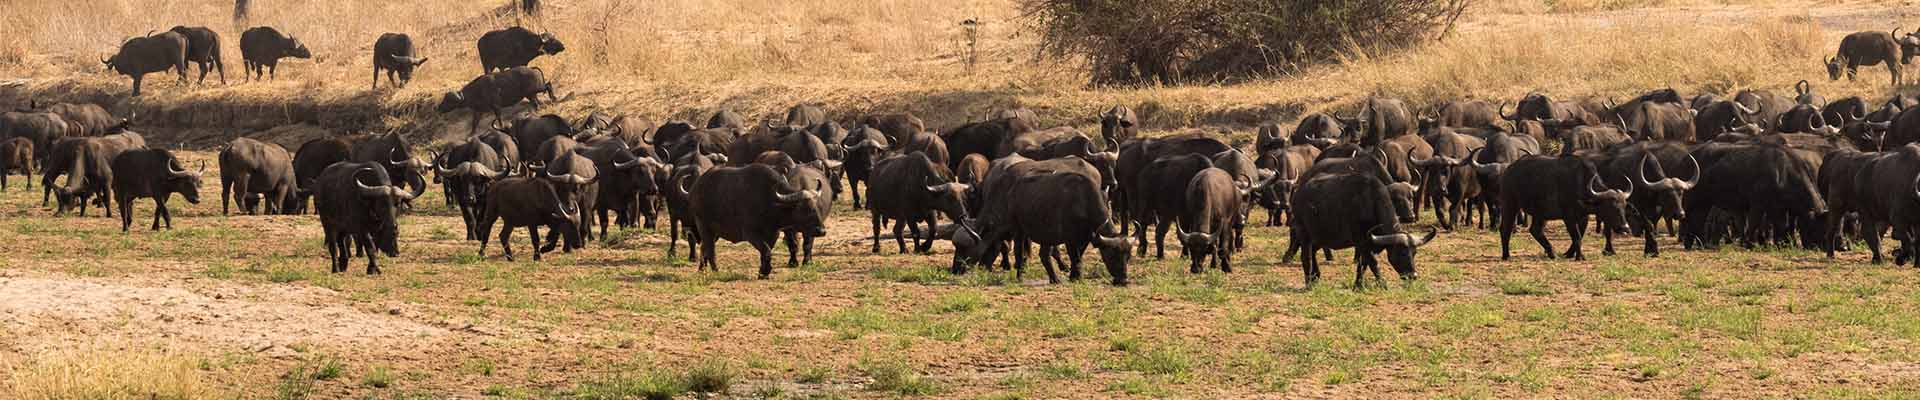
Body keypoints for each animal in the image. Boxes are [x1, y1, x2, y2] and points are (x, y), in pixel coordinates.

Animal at [691, 164, 825, 276]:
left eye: (816, 207)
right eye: (804, 209)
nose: (821, 231)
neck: (770, 202)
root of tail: (697, 186)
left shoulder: (773, 234)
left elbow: (765, 252)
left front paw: (762, 272)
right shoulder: (751, 234)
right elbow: (766, 251)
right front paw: (765, 271)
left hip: (715, 233)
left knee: (704, 247)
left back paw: (702, 269)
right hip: (703, 226)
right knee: (710, 249)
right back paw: (715, 271)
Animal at [1290, 172, 1443, 288]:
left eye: (1414, 253)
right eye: (1402, 252)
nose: (1413, 276)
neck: (1370, 203)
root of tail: (1299, 194)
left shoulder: (1369, 244)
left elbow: (1363, 264)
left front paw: (1358, 285)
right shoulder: (1362, 241)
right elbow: (1373, 262)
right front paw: (1382, 283)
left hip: (1319, 236)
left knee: (1313, 251)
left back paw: (1316, 277)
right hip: (1304, 232)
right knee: (1306, 256)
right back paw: (1308, 283)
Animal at [1497, 154, 1635, 261]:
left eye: (1623, 207)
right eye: (1610, 207)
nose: (1625, 228)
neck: (1580, 183)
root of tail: (1508, 171)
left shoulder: (1583, 217)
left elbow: (1580, 235)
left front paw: (1570, 253)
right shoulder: (1568, 217)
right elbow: (1576, 236)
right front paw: (1580, 256)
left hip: (1540, 213)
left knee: (1535, 230)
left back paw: (1552, 253)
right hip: (1510, 204)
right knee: (1505, 229)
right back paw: (1506, 255)